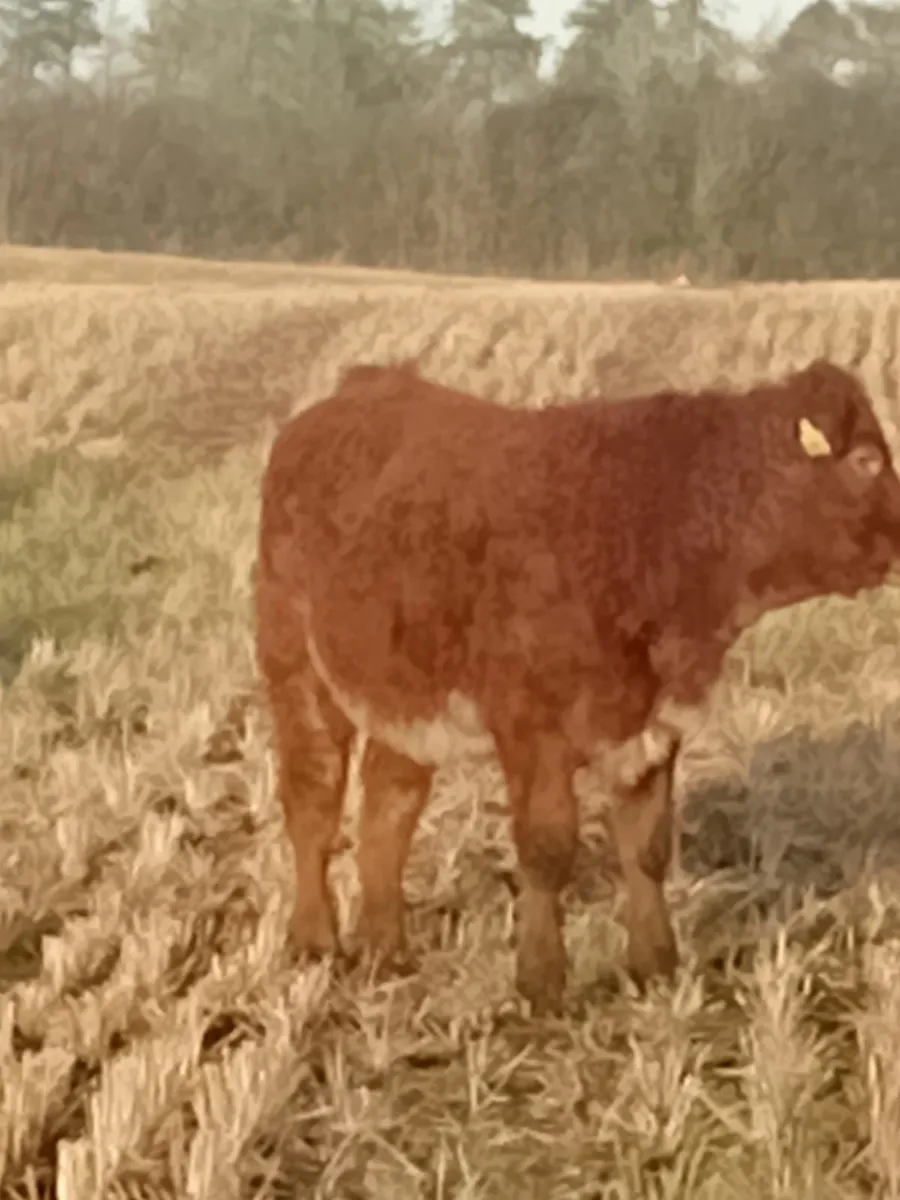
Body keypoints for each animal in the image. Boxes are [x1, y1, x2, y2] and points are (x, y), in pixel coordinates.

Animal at [255, 357, 900, 1015]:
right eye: (867, 460)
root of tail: (359, 387)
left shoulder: (655, 724)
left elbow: (646, 845)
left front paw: (656, 967)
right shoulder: (531, 726)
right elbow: (546, 848)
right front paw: (541, 984)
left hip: (404, 694)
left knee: (388, 807)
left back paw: (387, 950)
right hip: (295, 664)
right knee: (313, 800)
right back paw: (314, 943)